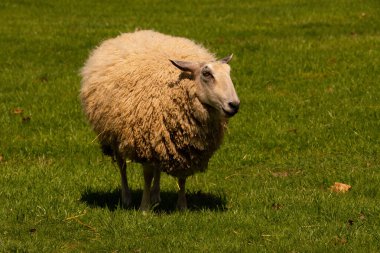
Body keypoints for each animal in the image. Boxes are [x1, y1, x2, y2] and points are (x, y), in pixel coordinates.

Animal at [80, 29, 240, 211]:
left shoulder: (185, 146)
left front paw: (182, 206)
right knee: (122, 165)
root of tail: (132, 33)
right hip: (115, 133)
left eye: (228, 73)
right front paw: (144, 207)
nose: (234, 105)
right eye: (207, 74)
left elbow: (182, 177)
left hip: (157, 136)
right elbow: (147, 175)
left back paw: (156, 196)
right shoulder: (145, 142)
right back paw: (127, 197)